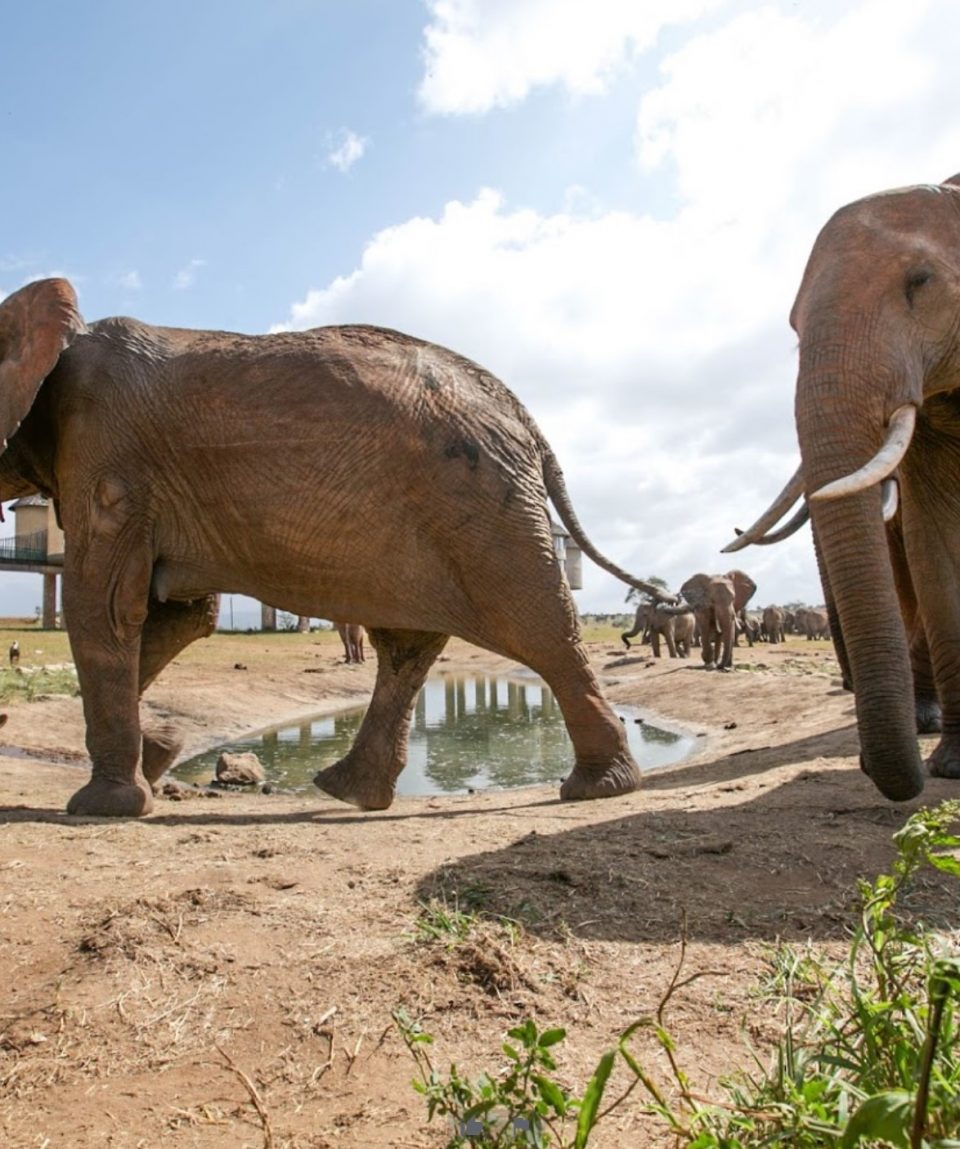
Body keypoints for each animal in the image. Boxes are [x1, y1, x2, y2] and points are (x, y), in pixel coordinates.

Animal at [1, 278, 675, 818]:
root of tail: (522, 413)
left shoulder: (106, 454)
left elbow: (106, 607)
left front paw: (104, 805)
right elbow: (178, 614)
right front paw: (161, 753)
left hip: (485, 506)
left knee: (538, 627)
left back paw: (597, 789)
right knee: (408, 642)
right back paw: (351, 790)